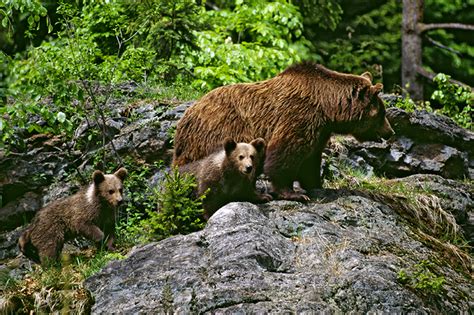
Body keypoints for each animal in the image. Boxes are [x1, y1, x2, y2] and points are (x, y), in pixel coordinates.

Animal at [172, 62, 394, 200]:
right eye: (382, 113)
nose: (390, 132)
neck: (327, 108)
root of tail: (184, 120)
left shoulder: (320, 130)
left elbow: (311, 160)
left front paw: (316, 184)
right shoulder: (298, 116)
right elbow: (285, 154)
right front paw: (294, 193)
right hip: (213, 136)